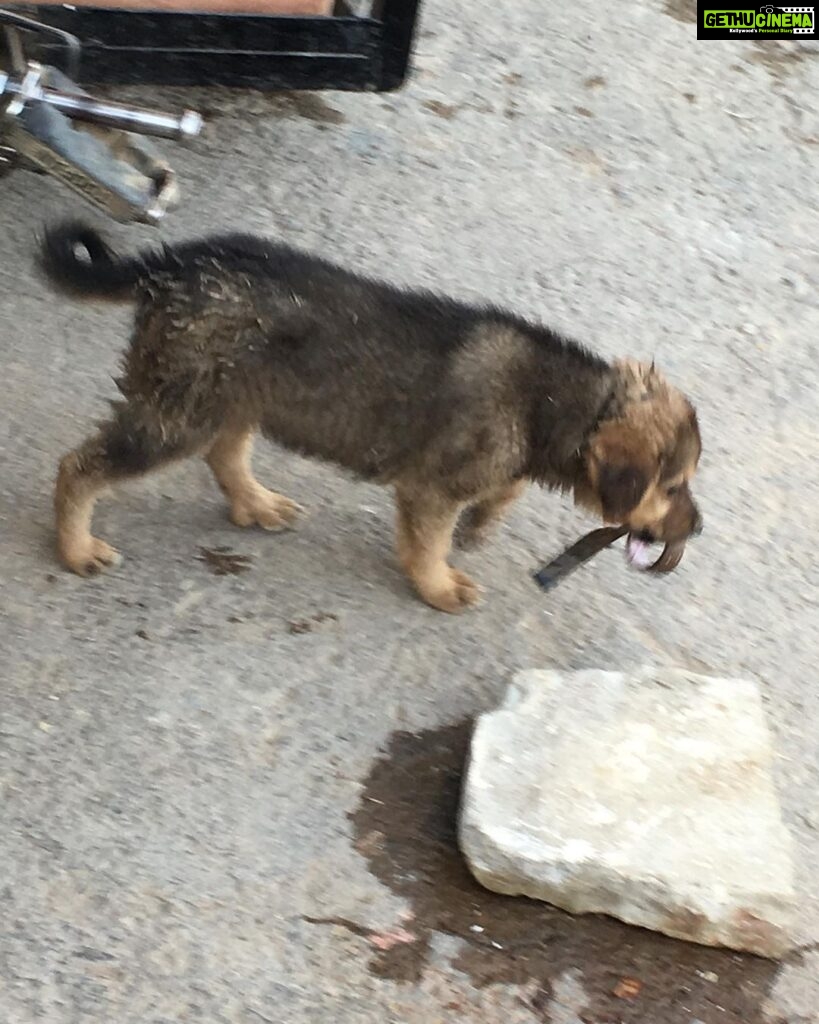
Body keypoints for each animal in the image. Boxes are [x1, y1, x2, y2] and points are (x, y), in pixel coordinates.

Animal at [39, 223, 704, 606]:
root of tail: (171, 264)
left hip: (238, 393)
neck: (559, 402)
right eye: (672, 487)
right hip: (176, 413)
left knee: (225, 452)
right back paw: (76, 547)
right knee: (79, 466)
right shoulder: (432, 489)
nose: (696, 530)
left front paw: (483, 522)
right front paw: (439, 585)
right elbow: (429, 545)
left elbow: (503, 491)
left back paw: (255, 502)